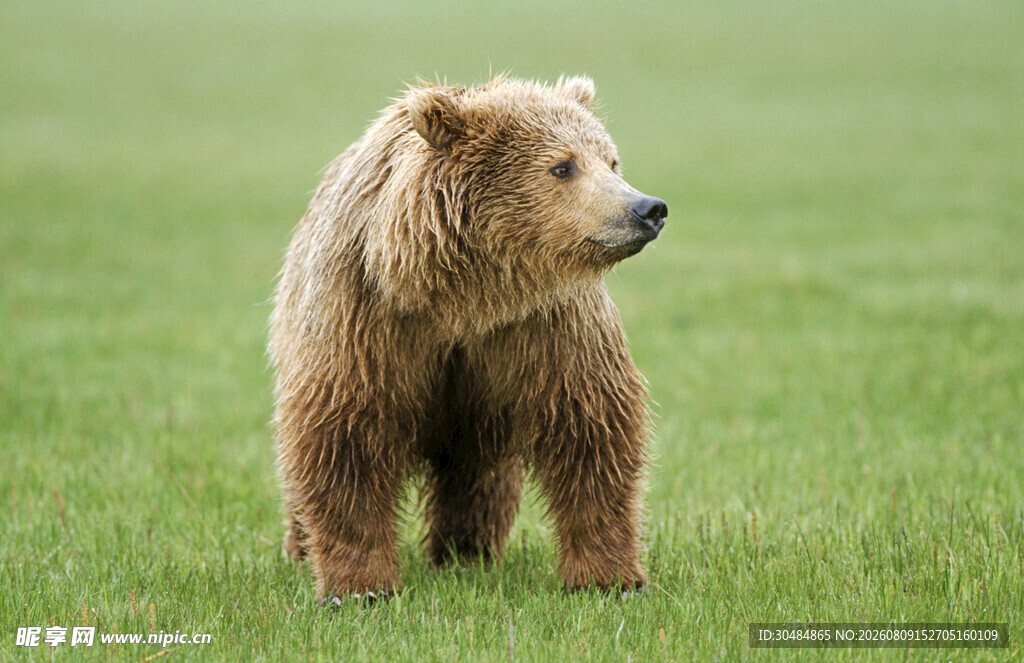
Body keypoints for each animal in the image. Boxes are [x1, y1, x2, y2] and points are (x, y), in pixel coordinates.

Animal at [269, 75, 667, 604]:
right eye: (562, 165)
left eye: (611, 160)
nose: (647, 208)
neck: (466, 296)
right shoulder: (368, 316)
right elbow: (345, 435)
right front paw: (358, 585)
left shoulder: (542, 324)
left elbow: (590, 427)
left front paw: (609, 576)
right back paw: (301, 546)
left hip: (479, 404)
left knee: (477, 474)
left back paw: (467, 552)